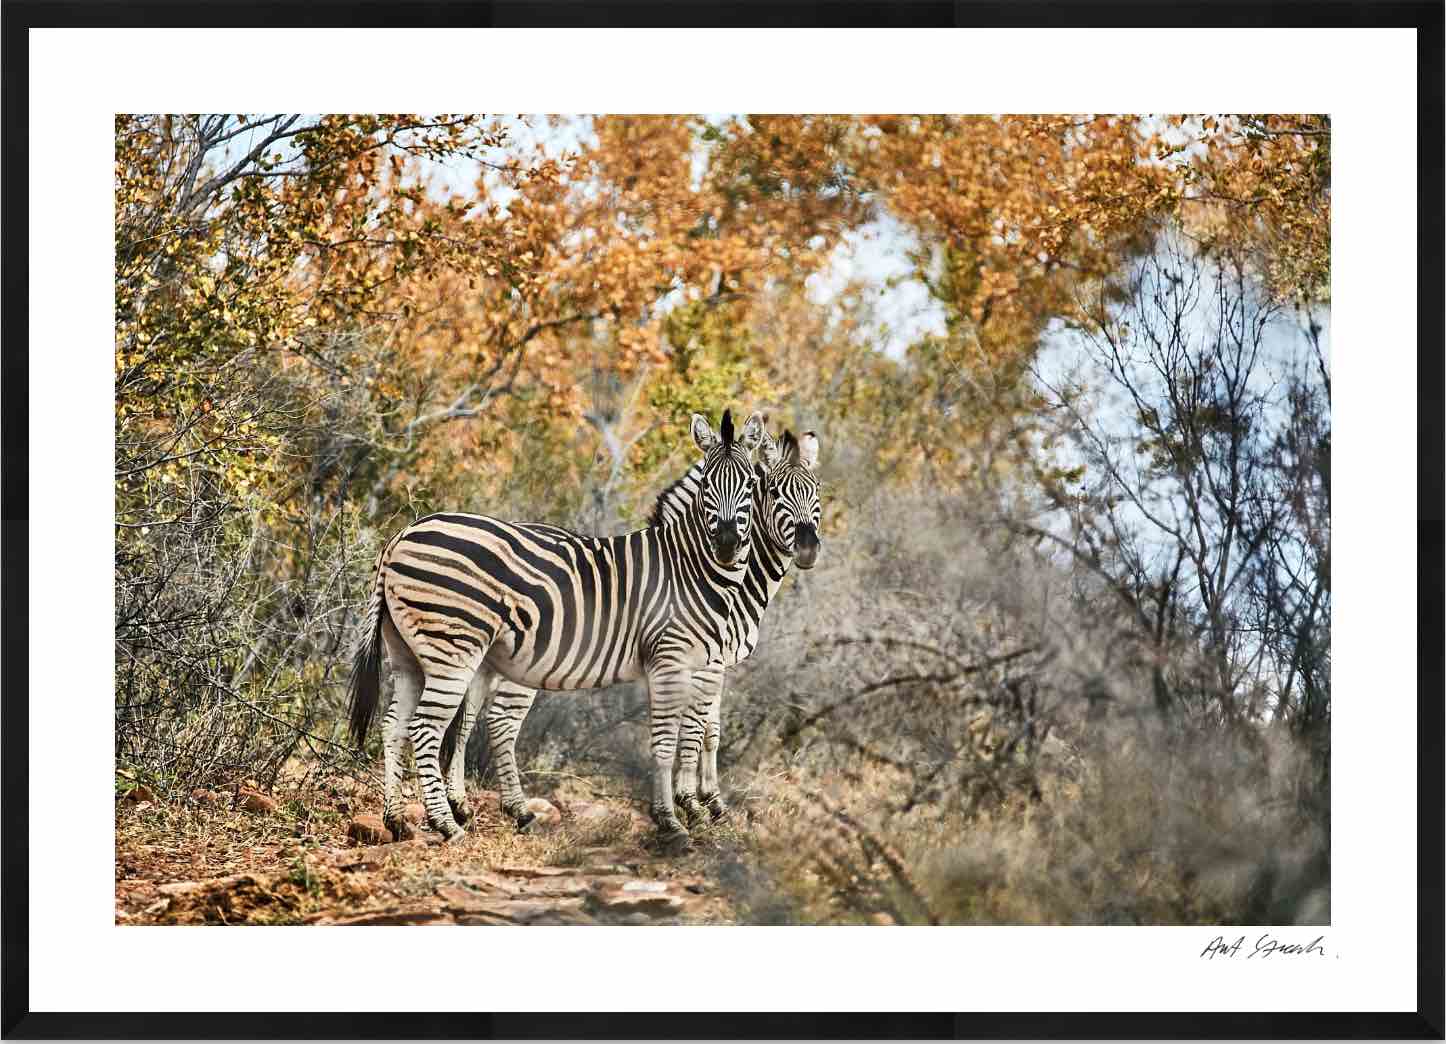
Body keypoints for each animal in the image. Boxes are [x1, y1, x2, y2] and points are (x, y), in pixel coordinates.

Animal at [346, 409, 767, 851]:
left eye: (751, 486)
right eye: (706, 485)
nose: (726, 544)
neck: (689, 567)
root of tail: (400, 536)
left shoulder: (695, 664)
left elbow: (693, 732)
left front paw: (688, 812)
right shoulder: (675, 659)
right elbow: (675, 737)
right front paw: (677, 820)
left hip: (407, 653)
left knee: (394, 725)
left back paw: (396, 820)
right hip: (453, 649)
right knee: (426, 728)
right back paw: (447, 825)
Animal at [458, 423, 823, 831]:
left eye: (816, 492)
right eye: (775, 493)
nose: (808, 549)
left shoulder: (713, 663)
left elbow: (707, 731)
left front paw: (706, 802)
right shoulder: (706, 663)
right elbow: (698, 731)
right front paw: (695, 804)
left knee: (468, 715)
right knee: (499, 721)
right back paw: (514, 809)